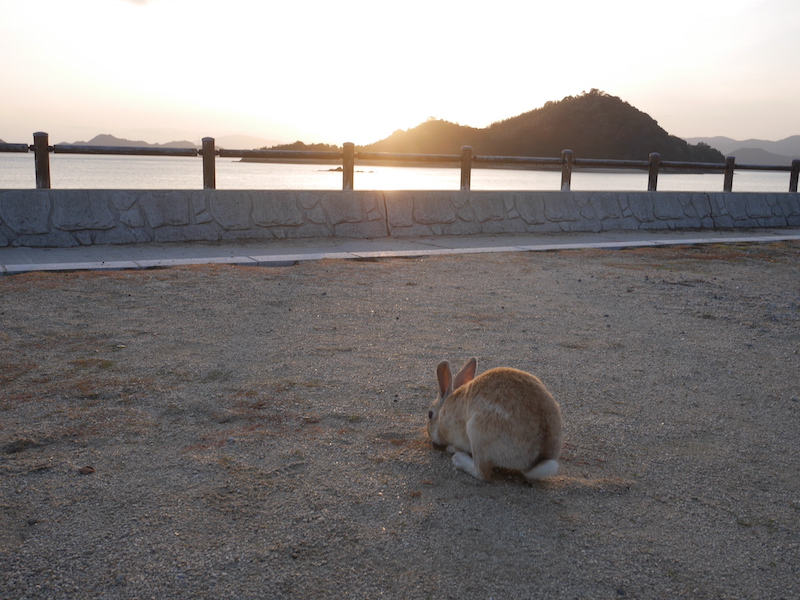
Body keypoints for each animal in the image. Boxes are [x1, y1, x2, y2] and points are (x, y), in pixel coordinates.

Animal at [424, 356, 564, 482]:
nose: (429, 434)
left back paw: (458, 459)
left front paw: (451, 448)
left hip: (477, 433)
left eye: (430, 414)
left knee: (482, 473)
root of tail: (538, 459)